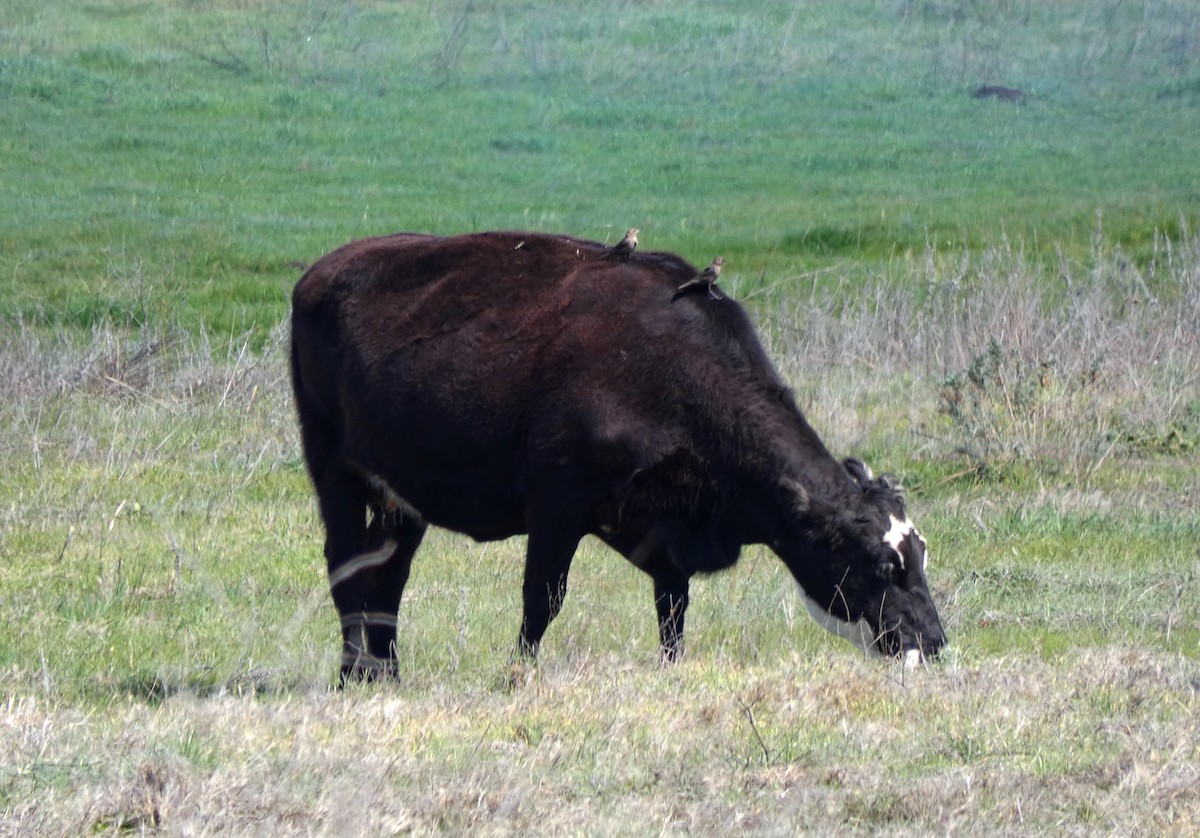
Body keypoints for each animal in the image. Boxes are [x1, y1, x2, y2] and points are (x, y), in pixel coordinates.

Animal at [290, 228, 945, 677]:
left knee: (388, 573)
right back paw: (351, 675)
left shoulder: (664, 528)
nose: (935, 643)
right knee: (344, 564)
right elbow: (541, 601)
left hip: (400, 495)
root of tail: (321, 270)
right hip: (332, 467)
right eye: (882, 565)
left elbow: (673, 611)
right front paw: (517, 676)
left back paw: (386, 673)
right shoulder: (558, 502)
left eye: (919, 558)